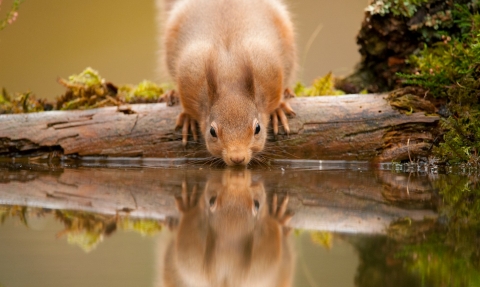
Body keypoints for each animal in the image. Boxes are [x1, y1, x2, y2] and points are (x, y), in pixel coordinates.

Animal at [163, 0, 294, 166]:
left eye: (257, 128)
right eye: (212, 131)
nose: (237, 158)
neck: (229, 77)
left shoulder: (269, 70)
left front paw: (278, 109)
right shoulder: (189, 75)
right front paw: (188, 118)